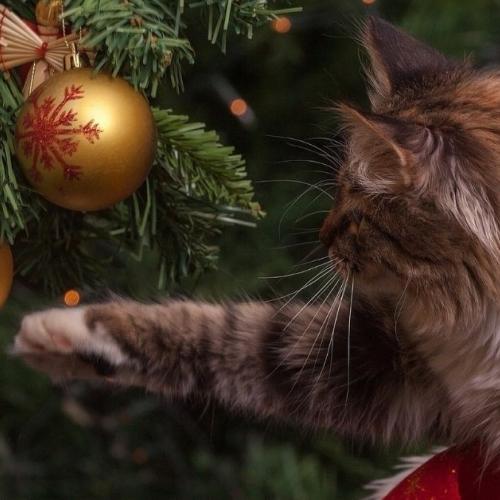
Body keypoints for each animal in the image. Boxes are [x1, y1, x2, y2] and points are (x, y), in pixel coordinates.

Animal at [11, 15, 500, 496]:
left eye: (357, 213)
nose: (322, 237)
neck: (477, 326)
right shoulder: (383, 359)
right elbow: (224, 332)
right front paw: (63, 331)